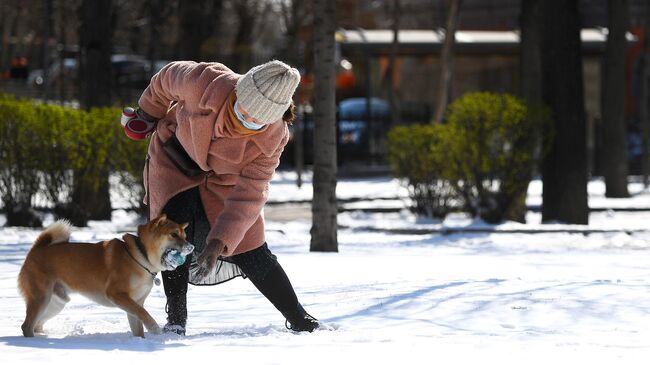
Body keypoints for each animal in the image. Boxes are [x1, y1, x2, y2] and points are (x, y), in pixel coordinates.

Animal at [17, 215, 192, 336]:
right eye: (174, 235)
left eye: (185, 236)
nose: (192, 247)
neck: (141, 256)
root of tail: (36, 250)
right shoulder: (116, 294)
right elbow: (144, 314)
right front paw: (154, 327)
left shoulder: (135, 302)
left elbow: (138, 324)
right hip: (41, 298)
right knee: (27, 326)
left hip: (55, 303)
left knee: (37, 324)